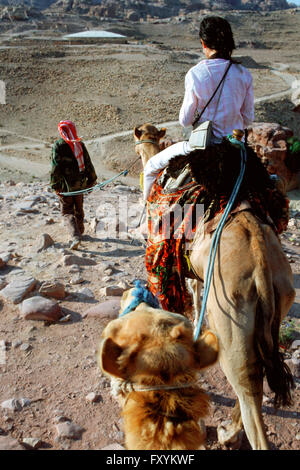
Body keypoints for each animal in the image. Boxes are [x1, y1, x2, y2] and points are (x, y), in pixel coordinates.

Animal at [133, 123, 296, 450]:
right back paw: (227, 430)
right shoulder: (195, 271)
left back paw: (230, 434)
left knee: (247, 388)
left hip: (231, 316)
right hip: (276, 304)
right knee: (255, 380)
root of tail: (261, 264)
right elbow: (196, 297)